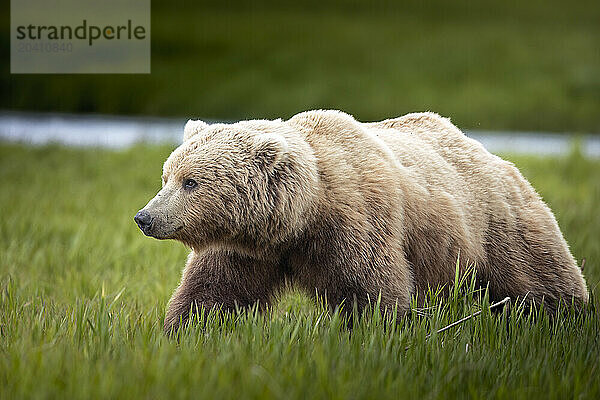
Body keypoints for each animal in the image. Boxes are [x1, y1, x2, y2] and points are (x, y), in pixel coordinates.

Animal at [134, 110, 588, 334]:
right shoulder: (244, 248)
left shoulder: (355, 220)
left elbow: (369, 289)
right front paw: (185, 333)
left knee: (538, 278)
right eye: (167, 176)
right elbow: (214, 293)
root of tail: (490, 153)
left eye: (191, 181)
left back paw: (568, 316)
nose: (145, 217)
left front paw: (372, 334)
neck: (301, 219)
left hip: (499, 222)